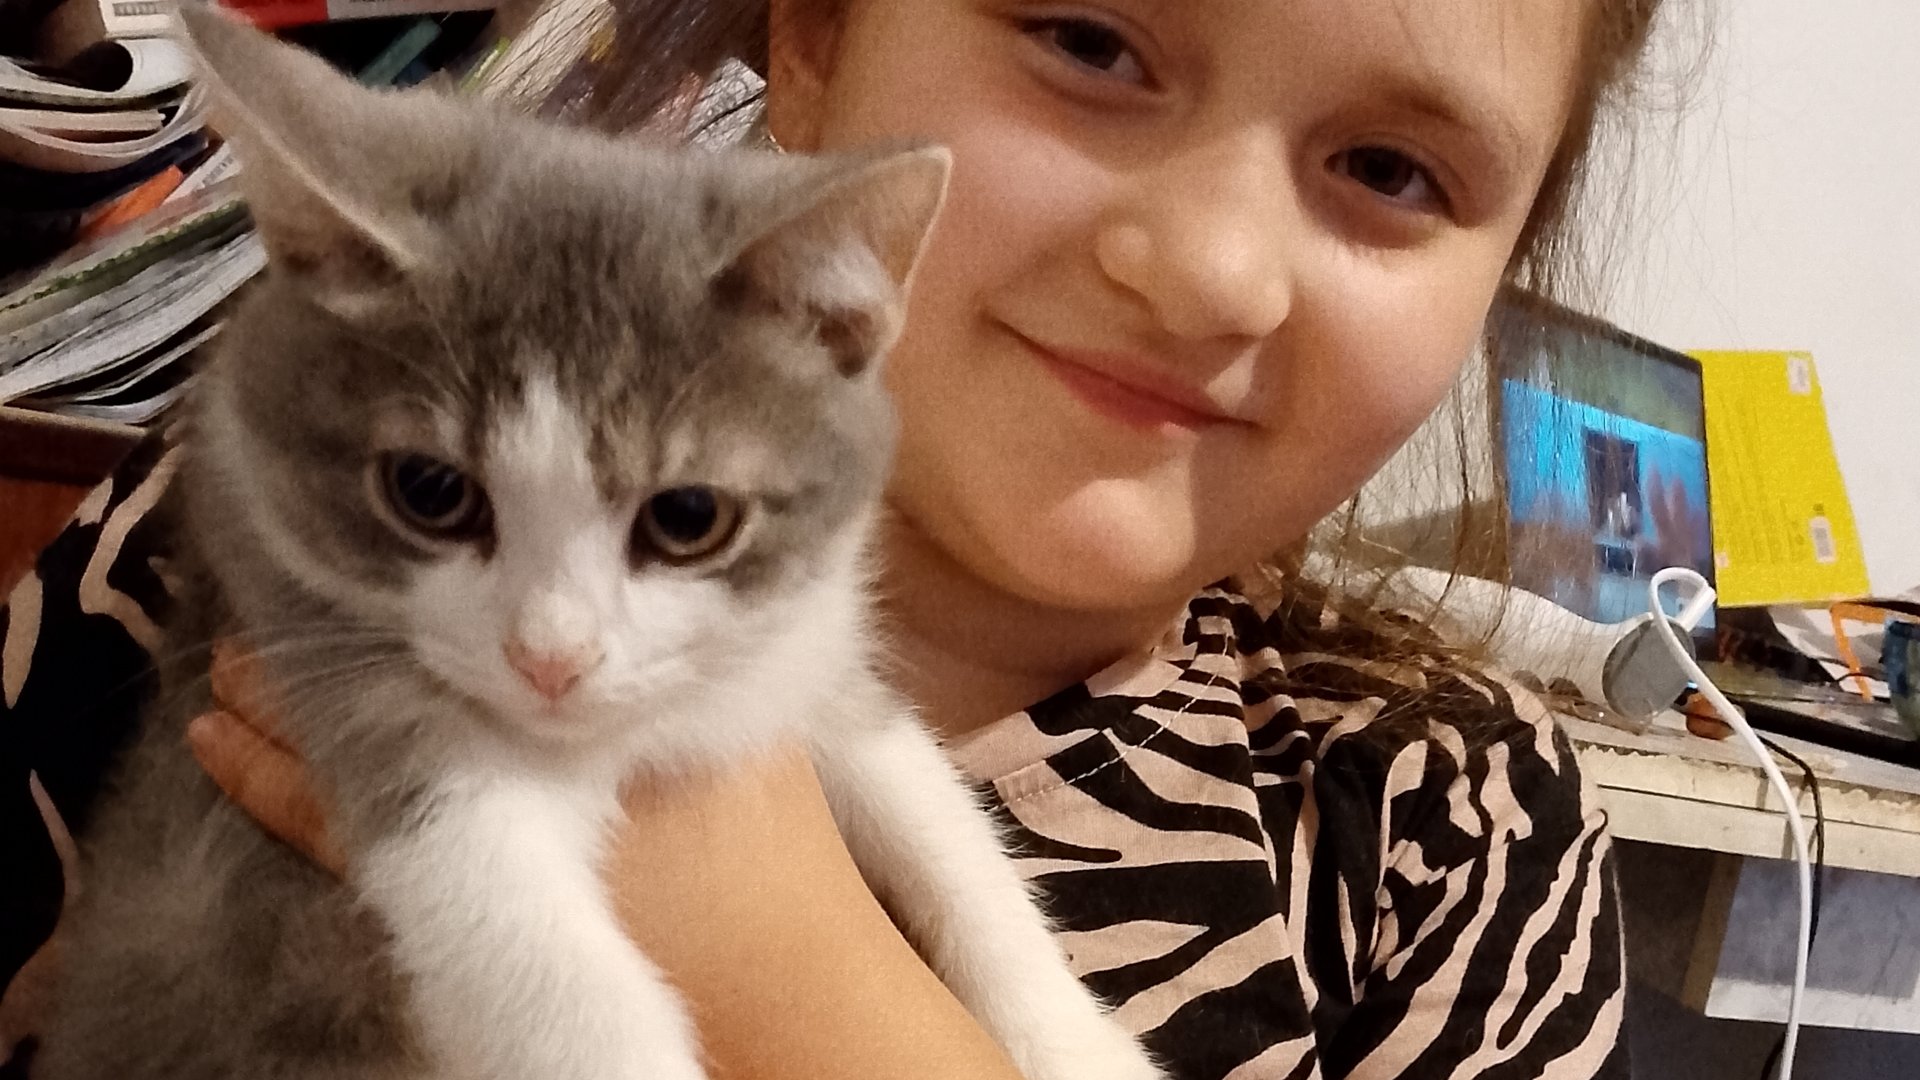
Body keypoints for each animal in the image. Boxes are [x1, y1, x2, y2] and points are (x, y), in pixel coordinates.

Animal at [37, 10, 1164, 1080]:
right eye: (430, 492)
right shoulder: (331, 663)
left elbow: (937, 818)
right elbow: (527, 947)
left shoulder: (808, 653)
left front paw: (1075, 1041)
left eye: (688, 517)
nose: (551, 659)